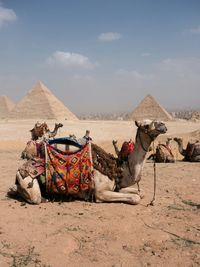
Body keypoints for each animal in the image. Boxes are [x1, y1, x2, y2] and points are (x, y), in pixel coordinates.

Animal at [11, 120, 167, 206]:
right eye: (145, 125)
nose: (163, 125)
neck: (118, 169)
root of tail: (20, 169)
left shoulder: (116, 187)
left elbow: (141, 193)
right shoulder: (101, 193)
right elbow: (135, 198)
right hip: (29, 184)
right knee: (34, 197)